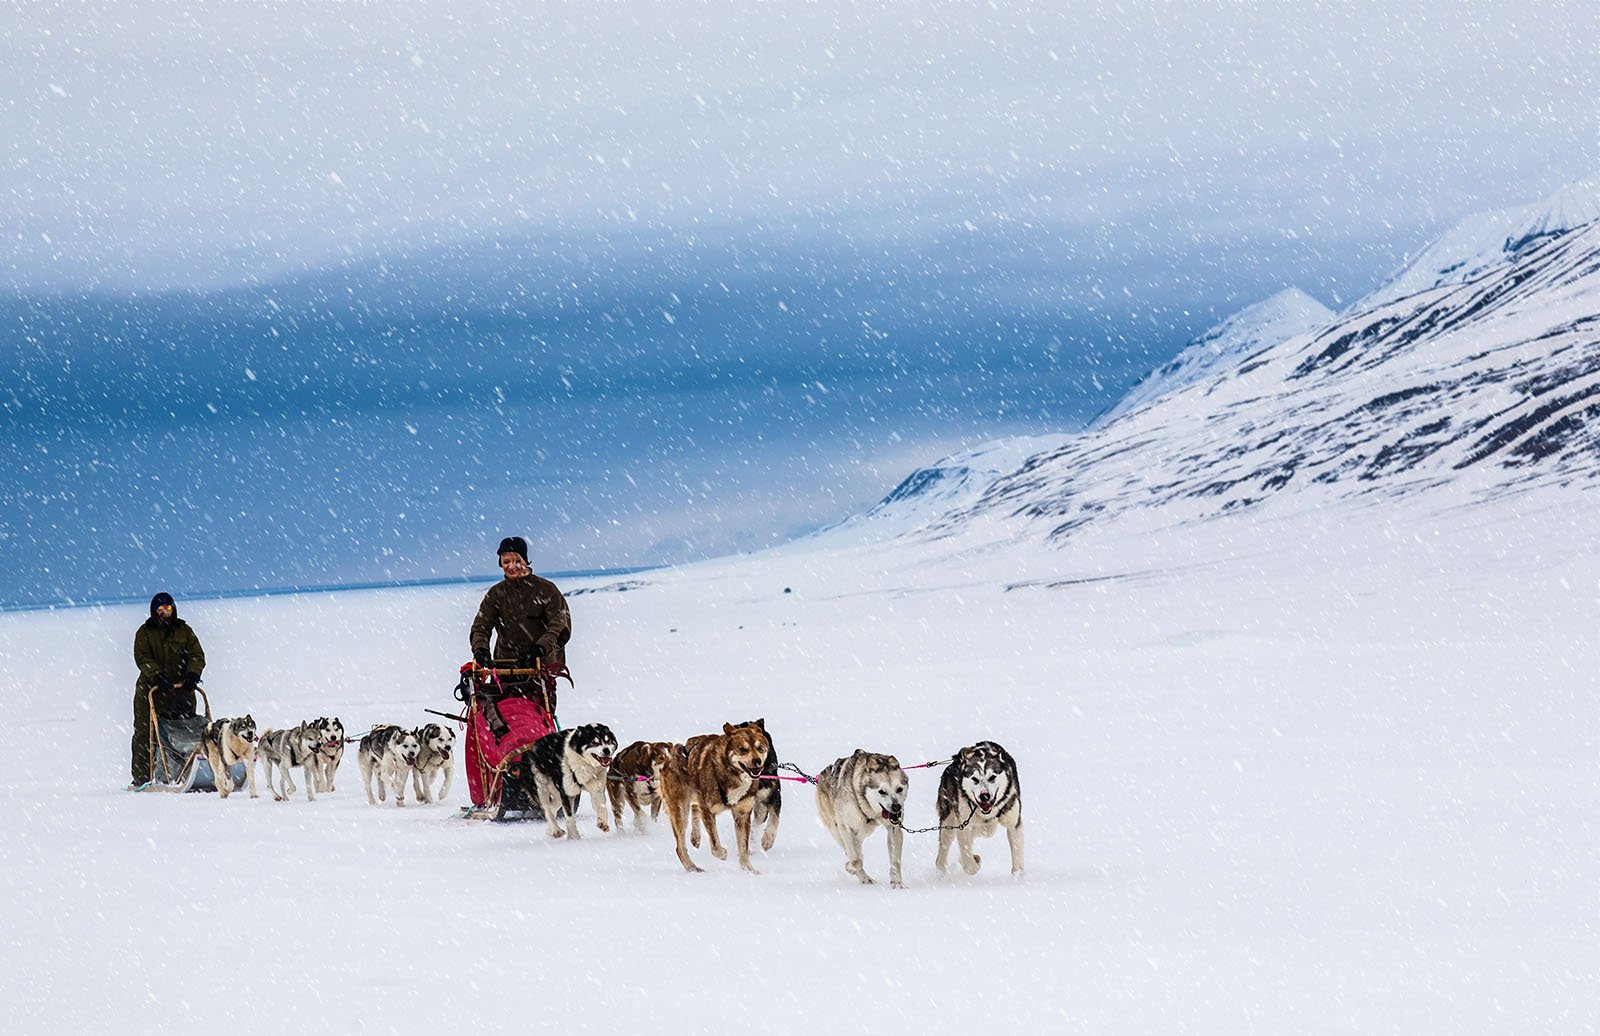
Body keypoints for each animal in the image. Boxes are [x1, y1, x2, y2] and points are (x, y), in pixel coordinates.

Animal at [656, 725, 768, 876]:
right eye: (742, 749)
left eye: (760, 747)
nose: (757, 761)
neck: (731, 774)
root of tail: (671, 755)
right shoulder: (708, 810)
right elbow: (715, 845)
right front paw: (723, 853)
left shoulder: (742, 813)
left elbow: (744, 847)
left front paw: (749, 870)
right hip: (680, 810)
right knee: (680, 847)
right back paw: (692, 868)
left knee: (694, 807)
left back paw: (695, 838)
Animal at [819, 748, 908, 888]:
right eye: (882, 791)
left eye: (899, 789)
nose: (896, 807)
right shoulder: (845, 826)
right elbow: (856, 861)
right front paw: (849, 867)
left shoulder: (894, 828)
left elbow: (895, 860)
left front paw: (897, 883)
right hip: (837, 831)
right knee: (854, 853)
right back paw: (865, 878)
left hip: (863, 831)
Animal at [934, 741, 1024, 876]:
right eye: (974, 779)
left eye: (992, 777)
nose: (984, 796)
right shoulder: (963, 825)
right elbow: (968, 862)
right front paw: (972, 863)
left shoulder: (1013, 823)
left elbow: (1017, 850)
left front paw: (1018, 876)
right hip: (948, 819)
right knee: (944, 848)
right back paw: (942, 867)